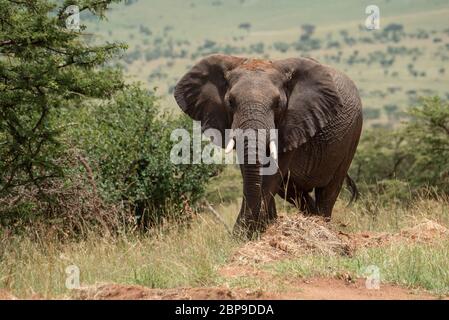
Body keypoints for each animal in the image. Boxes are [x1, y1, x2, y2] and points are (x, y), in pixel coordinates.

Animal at [173, 55, 362, 239]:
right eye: (231, 102)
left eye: (277, 103)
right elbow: (252, 172)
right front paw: (259, 230)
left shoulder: (293, 122)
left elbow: (271, 173)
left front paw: (249, 233)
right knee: (294, 192)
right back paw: (311, 220)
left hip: (353, 133)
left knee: (329, 190)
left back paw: (322, 225)